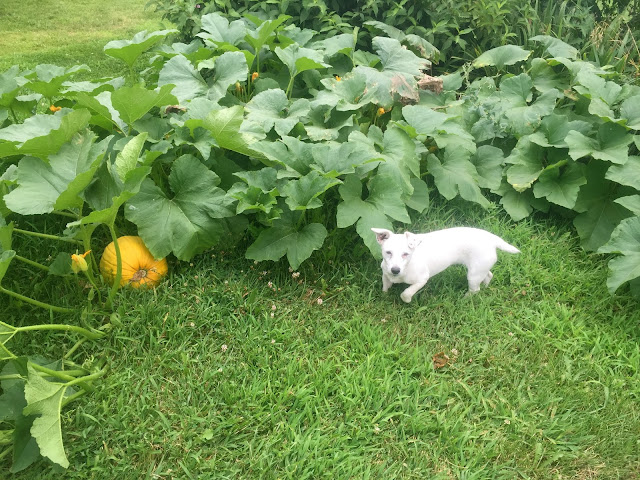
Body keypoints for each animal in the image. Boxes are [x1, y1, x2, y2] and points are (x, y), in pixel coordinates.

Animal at [371, 227, 520, 303]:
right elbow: (385, 287)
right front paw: (384, 296)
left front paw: (406, 299)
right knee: (489, 275)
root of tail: (491, 239)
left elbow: (406, 293)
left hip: (474, 275)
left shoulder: (422, 280)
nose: (395, 270)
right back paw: (485, 286)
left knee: (474, 290)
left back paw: (465, 299)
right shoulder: (385, 275)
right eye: (388, 252)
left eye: (405, 254)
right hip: (480, 268)